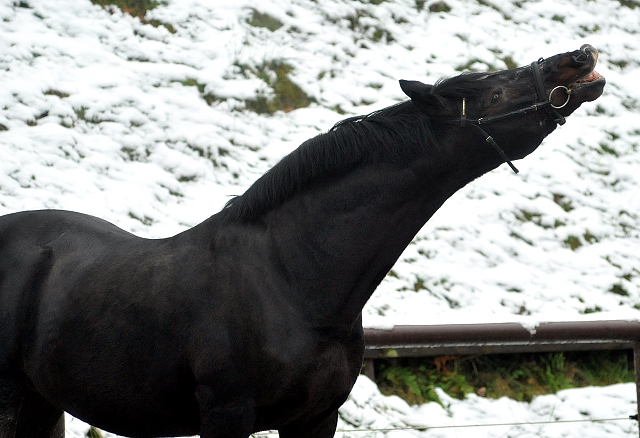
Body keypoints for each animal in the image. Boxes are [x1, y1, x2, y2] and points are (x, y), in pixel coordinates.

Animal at [0, 45, 604, 438]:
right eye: (496, 91)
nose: (580, 57)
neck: (293, 277)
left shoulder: (316, 420)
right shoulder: (226, 418)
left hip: (41, 404)